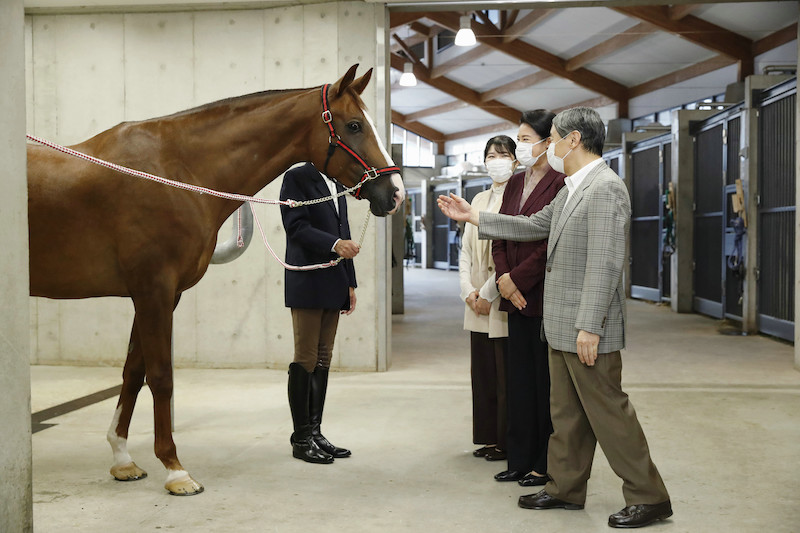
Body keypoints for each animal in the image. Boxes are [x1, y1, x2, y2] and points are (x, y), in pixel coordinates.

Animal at [27, 65, 404, 494]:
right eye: (354, 125)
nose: (395, 193)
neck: (174, 172)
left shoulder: (160, 295)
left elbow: (132, 372)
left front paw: (122, 459)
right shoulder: (153, 291)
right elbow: (160, 376)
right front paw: (175, 469)